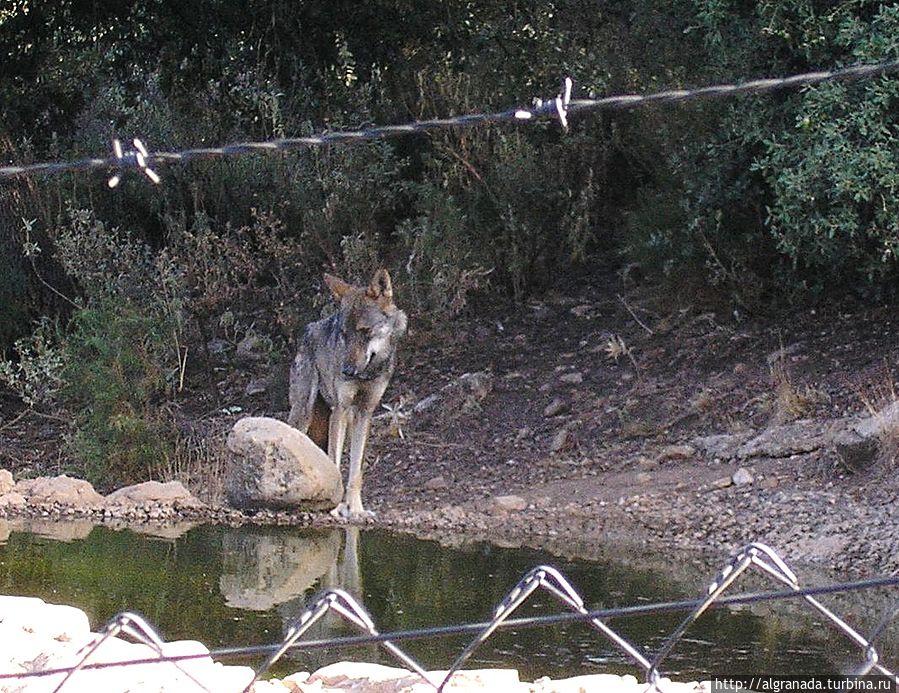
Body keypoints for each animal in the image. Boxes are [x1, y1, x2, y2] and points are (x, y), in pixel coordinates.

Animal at [288, 270, 408, 520]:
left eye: (365, 331)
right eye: (344, 333)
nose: (346, 371)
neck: (366, 373)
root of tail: (308, 329)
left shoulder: (365, 413)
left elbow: (356, 472)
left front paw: (357, 510)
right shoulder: (340, 411)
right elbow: (334, 463)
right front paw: (335, 508)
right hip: (304, 413)